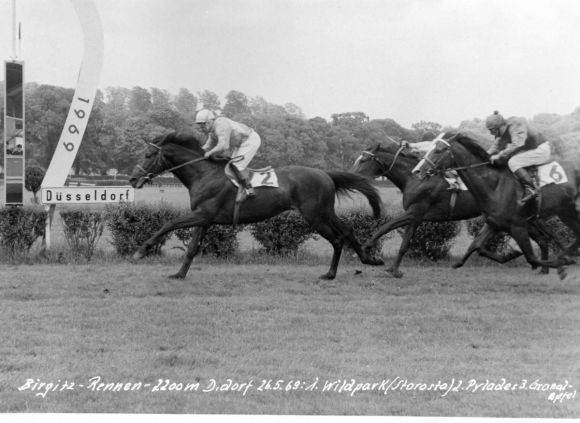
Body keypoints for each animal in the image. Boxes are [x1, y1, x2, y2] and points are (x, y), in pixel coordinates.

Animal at [130, 131, 386, 280]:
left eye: (149, 155)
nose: (132, 179)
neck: (204, 174)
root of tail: (325, 173)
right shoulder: (205, 218)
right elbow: (192, 248)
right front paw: (179, 274)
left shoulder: (202, 214)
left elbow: (169, 224)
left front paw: (141, 251)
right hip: (324, 212)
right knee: (347, 230)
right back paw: (369, 259)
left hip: (315, 215)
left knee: (337, 238)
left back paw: (331, 273)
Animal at [416, 132, 580, 278]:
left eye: (438, 150)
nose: (419, 171)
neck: (495, 186)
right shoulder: (494, 223)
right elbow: (476, 245)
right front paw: (509, 255)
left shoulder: (518, 226)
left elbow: (531, 258)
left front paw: (561, 266)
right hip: (566, 211)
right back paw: (565, 255)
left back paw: (565, 257)